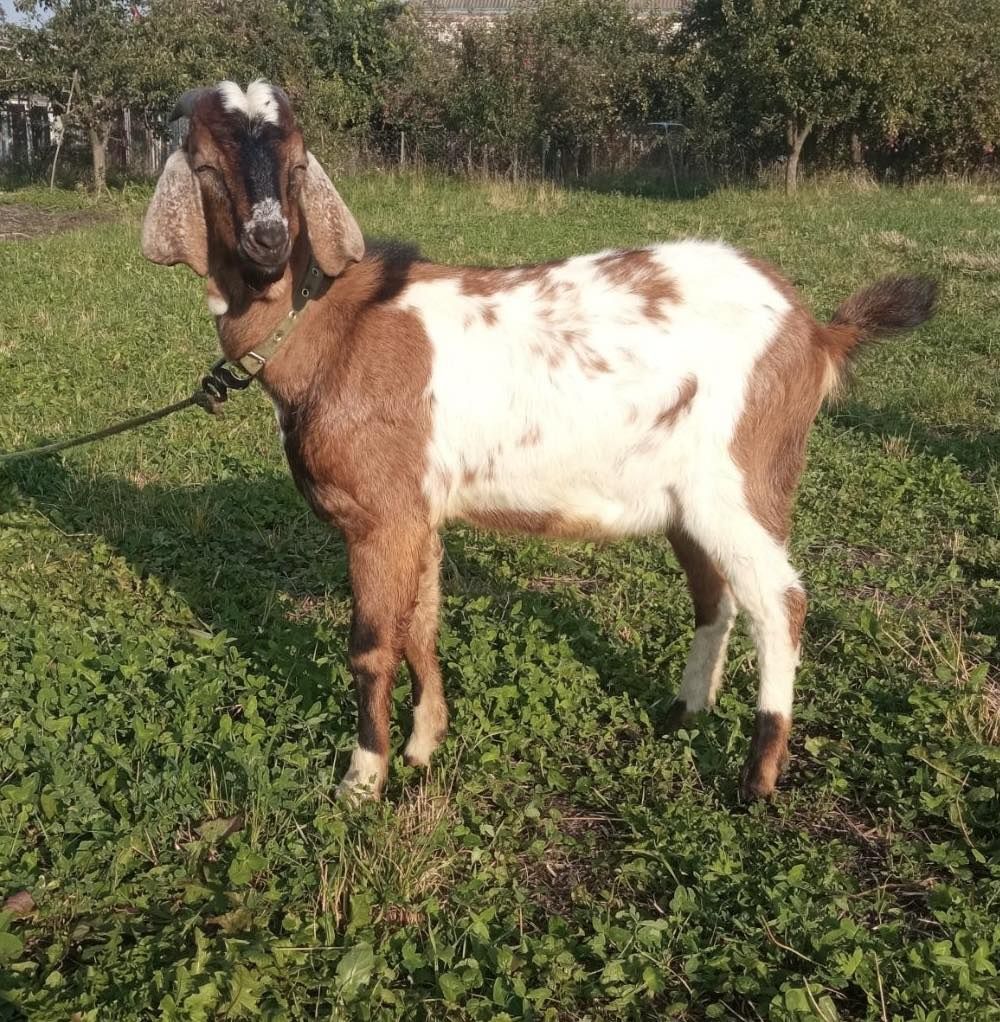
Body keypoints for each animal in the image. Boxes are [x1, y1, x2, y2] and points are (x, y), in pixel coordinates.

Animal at [142, 81, 936, 797]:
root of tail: (815, 331)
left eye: (299, 162)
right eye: (205, 165)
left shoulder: (379, 516)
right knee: (718, 595)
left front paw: (362, 781)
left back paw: (757, 777)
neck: (327, 327)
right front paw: (424, 748)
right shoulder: (418, 515)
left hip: (743, 479)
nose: (269, 240)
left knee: (780, 603)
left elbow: (372, 646)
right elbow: (420, 625)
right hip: (688, 497)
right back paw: (684, 710)